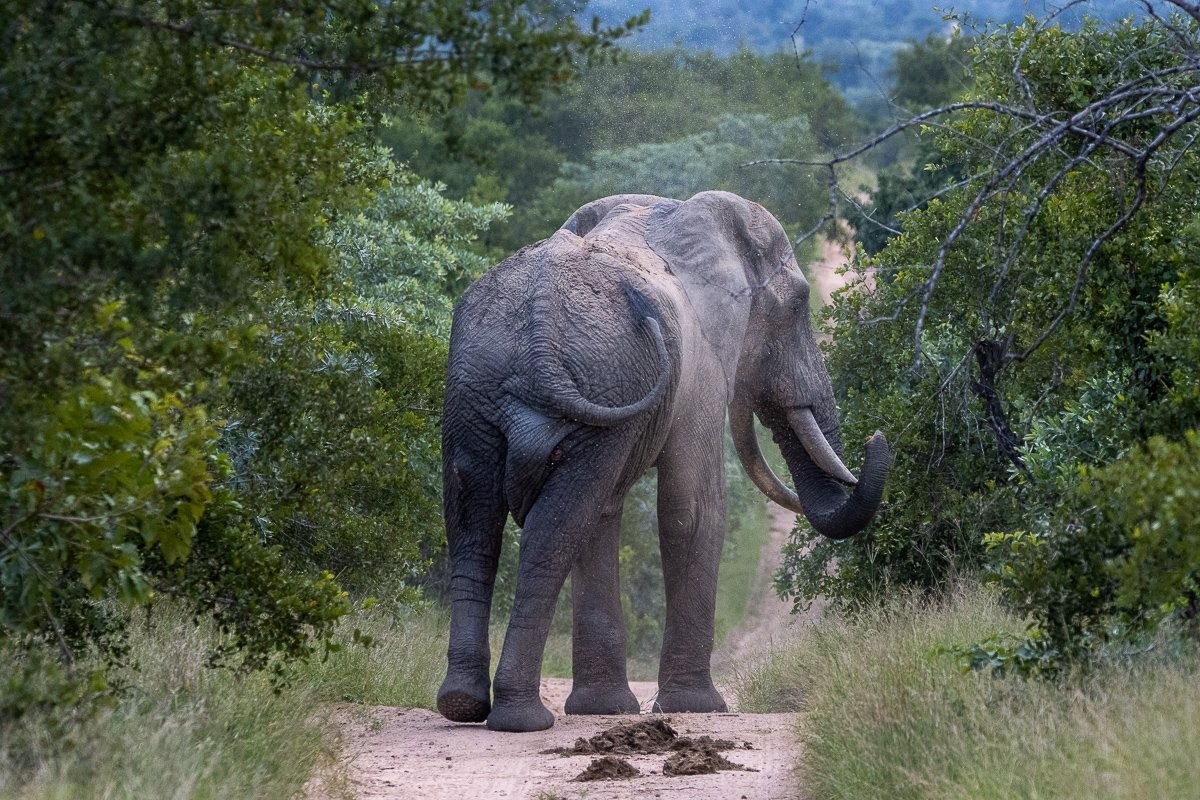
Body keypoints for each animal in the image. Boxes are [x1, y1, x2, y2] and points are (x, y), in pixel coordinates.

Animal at [436, 191, 890, 733]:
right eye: (799, 303)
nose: (877, 439)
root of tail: (539, 327)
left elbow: (605, 514)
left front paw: (606, 710)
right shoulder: (701, 366)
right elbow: (692, 509)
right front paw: (698, 707)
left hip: (487, 390)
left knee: (477, 520)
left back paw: (462, 705)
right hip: (580, 382)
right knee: (552, 529)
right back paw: (522, 720)